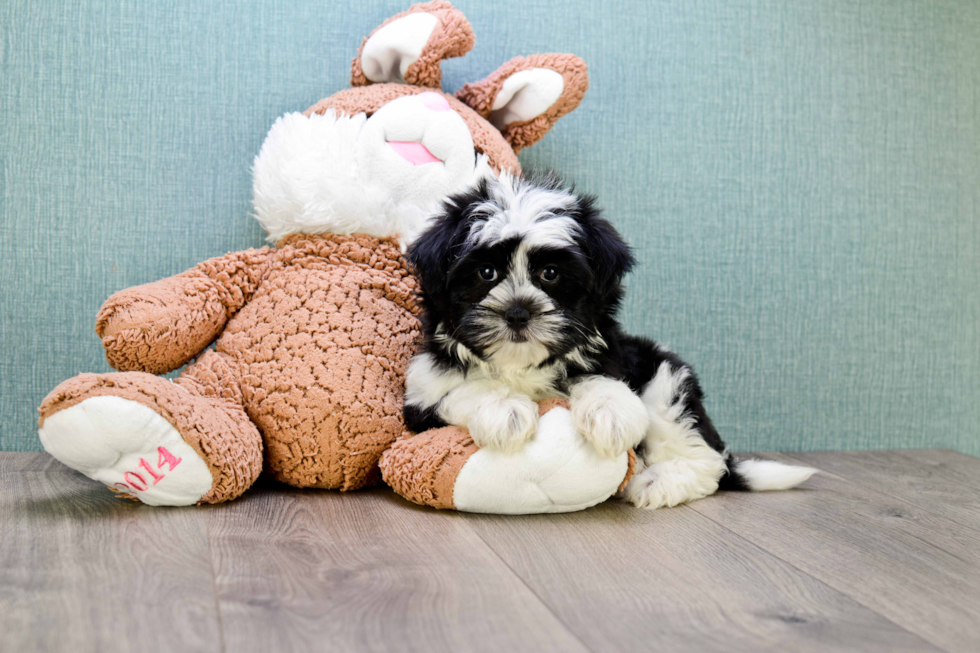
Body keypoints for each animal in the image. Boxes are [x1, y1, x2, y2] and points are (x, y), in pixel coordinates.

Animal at [402, 173, 816, 510]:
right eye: (486, 272)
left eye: (550, 274)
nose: (518, 312)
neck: (520, 364)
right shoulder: (422, 395)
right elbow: (468, 388)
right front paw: (506, 410)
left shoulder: (612, 355)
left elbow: (599, 378)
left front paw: (611, 413)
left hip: (665, 378)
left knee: (706, 460)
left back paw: (656, 482)